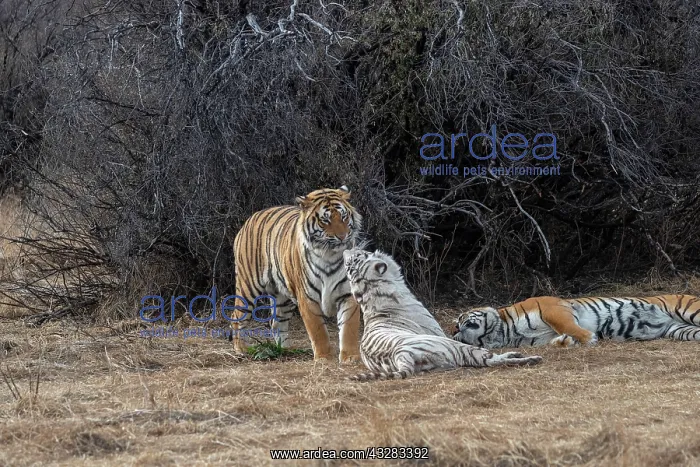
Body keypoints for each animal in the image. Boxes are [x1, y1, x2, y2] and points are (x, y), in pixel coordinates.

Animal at [231, 186, 363, 363]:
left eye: (343, 216)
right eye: (325, 220)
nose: (342, 237)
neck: (329, 256)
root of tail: (250, 219)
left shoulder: (347, 294)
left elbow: (349, 328)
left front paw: (350, 358)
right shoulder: (307, 298)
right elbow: (318, 331)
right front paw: (324, 358)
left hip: (283, 297)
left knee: (277, 323)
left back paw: (285, 349)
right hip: (249, 286)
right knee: (236, 315)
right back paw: (241, 349)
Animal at [342, 248, 542, 381]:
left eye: (351, 262)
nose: (346, 250)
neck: (372, 295)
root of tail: (401, 356)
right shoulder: (440, 332)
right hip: (453, 346)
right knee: (488, 360)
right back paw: (528, 358)